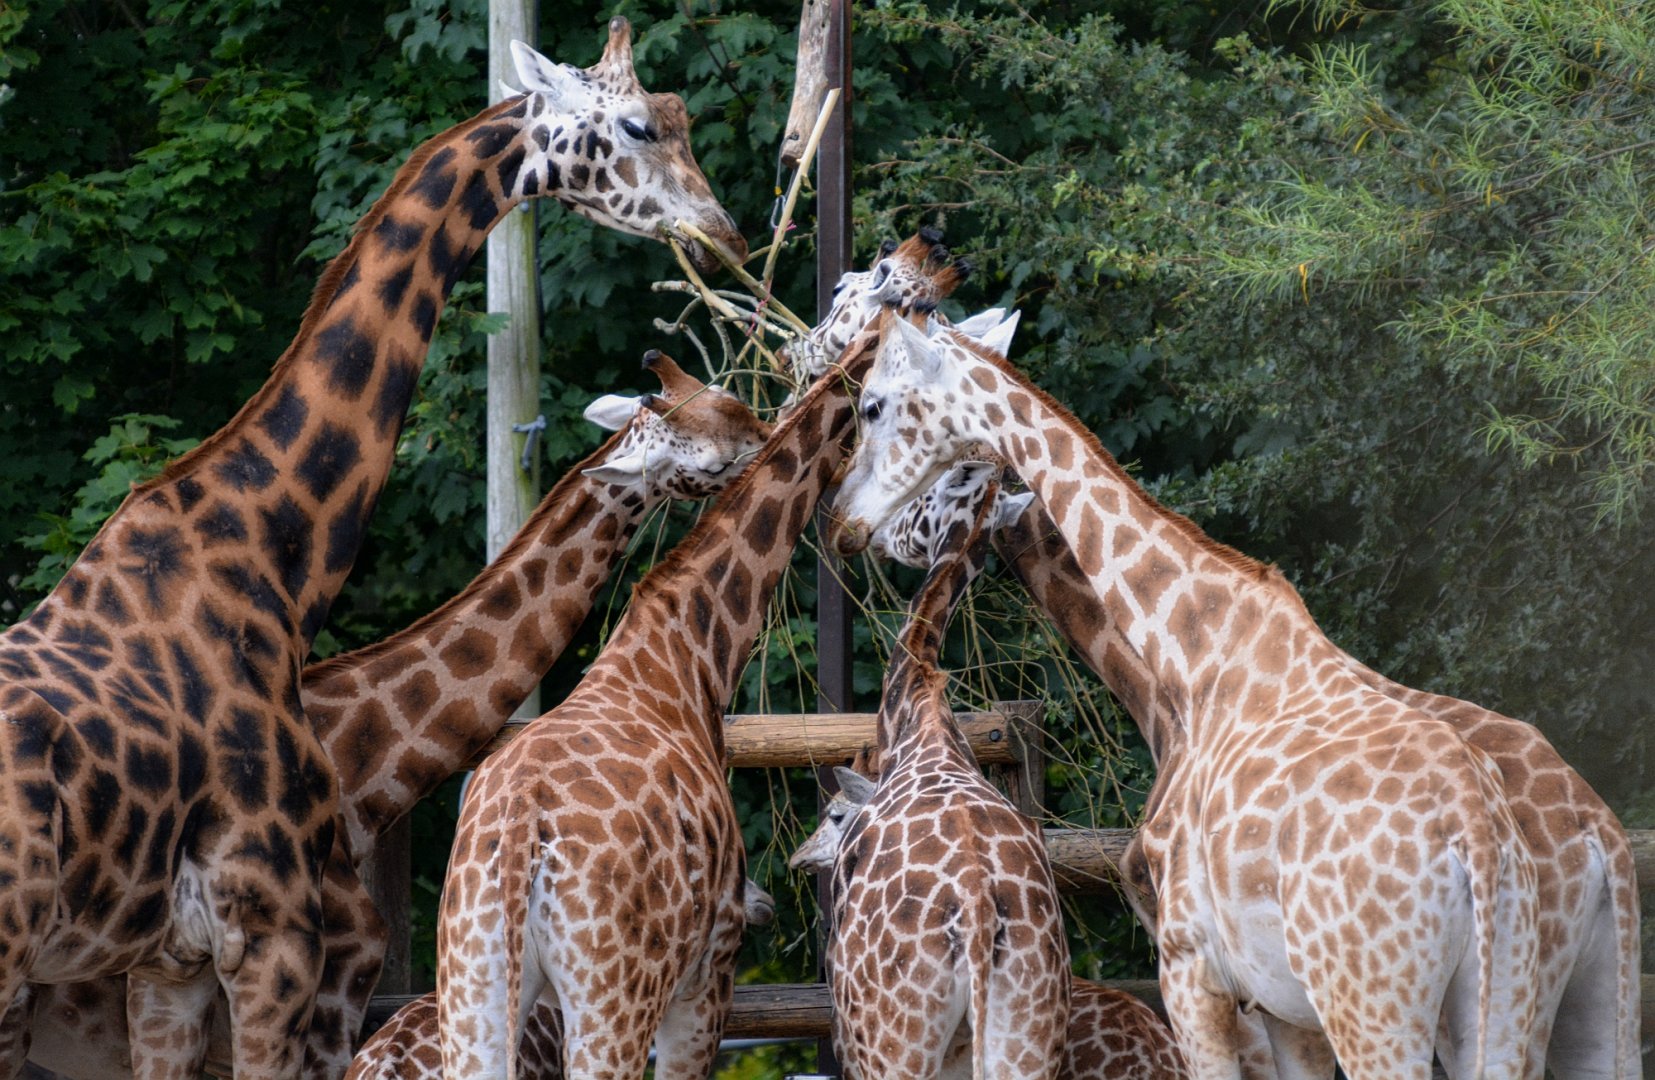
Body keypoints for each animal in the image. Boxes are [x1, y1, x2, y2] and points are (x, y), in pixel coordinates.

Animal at [416, 232, 969, 1080]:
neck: (687, 648)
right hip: (612, 993)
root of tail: (517, 843)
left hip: (469, 982)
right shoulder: (711, 971)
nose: (931, 251)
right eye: (874, 282)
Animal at [824, 456, 1070, 1080]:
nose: (869, 532)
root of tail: (978, 915)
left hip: (891, 1040)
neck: (917, 709)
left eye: (921, 491)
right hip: (1029, 1031)